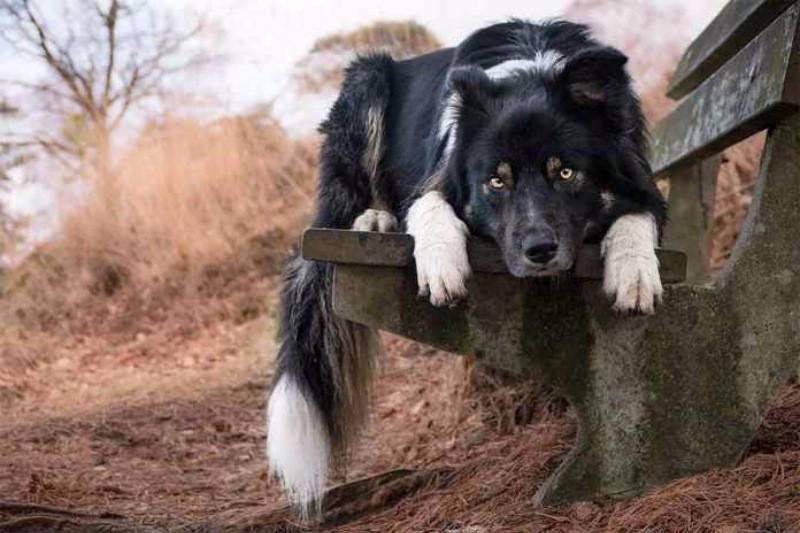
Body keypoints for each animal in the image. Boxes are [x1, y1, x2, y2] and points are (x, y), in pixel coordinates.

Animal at [268, 18, 668, 512]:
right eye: (496, 181)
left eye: (566, 172)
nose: (539, 251)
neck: (529, 73)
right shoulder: (435, 177)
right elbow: (428, 205)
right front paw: (441, 265)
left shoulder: (639, 180)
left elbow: (637, 217)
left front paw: (635, 272)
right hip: (365, 86)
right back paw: (374, 218)